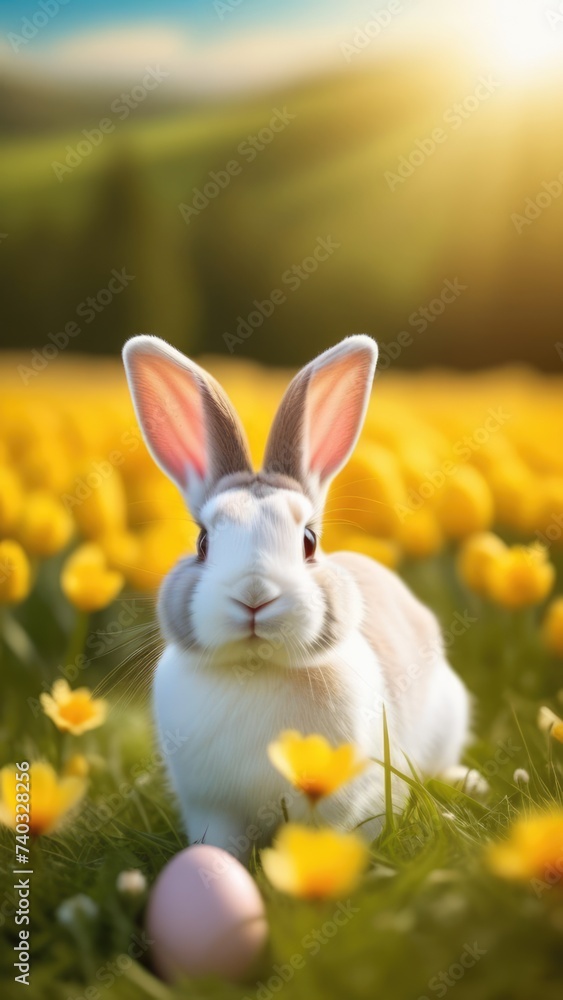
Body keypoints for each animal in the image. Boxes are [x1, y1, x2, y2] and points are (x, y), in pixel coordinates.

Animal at [122, 334, 470, 862]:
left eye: (308, 541)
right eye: (203, 542)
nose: (254, 595)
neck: (257, 668)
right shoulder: (211, 808)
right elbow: (218, 845)